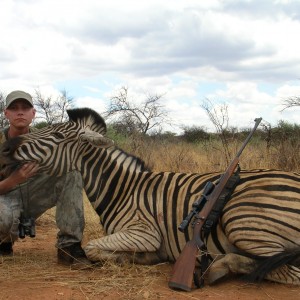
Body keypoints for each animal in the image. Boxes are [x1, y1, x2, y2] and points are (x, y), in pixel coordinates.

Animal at [0, 108, 300, 286]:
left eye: (57, 134)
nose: (6, 147)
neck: (123, 188)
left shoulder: (143, 233)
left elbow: (94, 248)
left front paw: (138, 258)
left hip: (242, 222)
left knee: (287, 270)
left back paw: (220, 266)